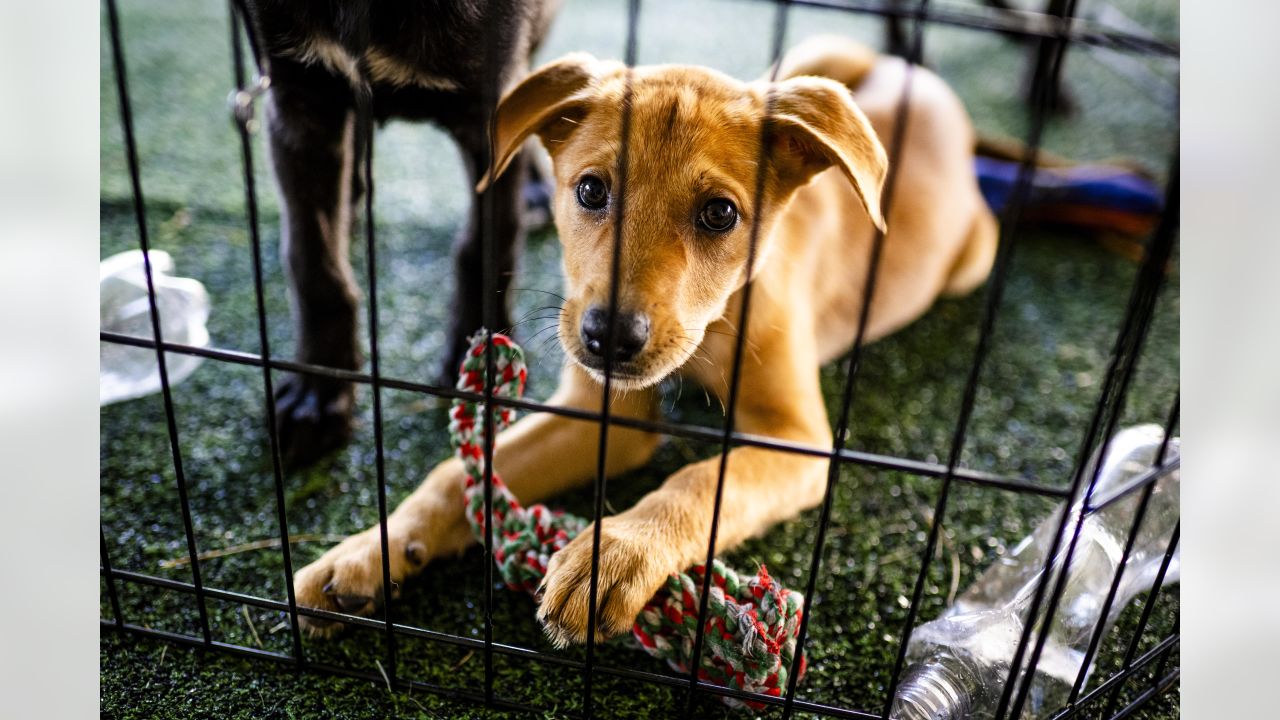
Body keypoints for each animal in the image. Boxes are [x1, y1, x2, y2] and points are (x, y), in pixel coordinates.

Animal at [240, 0, 560, 466]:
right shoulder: (299, 99)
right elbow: (314, 263)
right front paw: (318, 394)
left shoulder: (492, 107)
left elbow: (486, 246)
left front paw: (484, 358)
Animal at [294, 36, 993, 645]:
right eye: (590, 190)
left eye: (720, 213)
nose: (608, 338)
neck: (715, 327)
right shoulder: (601, 411)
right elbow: (454, 473)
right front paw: (365, 554)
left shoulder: (797, 439)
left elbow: (701, 481)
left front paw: (614, 555)